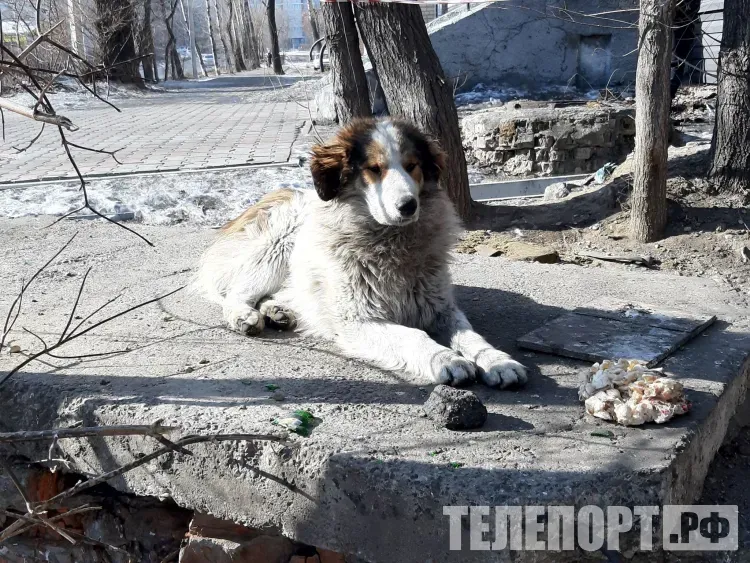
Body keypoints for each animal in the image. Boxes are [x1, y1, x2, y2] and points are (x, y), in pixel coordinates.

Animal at [197, 117, 532, 390]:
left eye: (412, 165)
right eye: (374, 169)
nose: (408, 206)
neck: (391, 243)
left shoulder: (440, 308)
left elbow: (471, 336)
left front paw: (498, 360)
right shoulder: (357, 319)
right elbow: (412, 336)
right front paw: (444, 359)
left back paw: (278, 311)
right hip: (278, 245)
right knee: (237, 292)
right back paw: (244, 315)